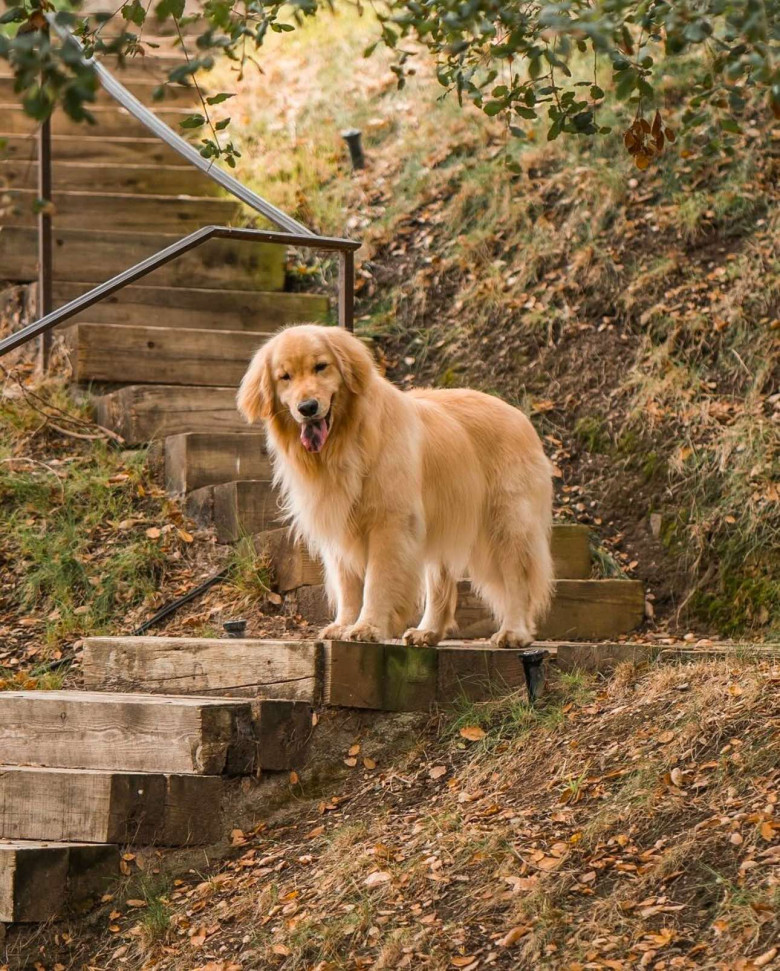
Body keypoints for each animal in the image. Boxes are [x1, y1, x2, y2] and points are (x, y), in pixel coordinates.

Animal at [238, 322, 556, 648]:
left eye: (320, 366)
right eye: (285, 376)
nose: (307, 407)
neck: (346, 441)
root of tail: (519, 415)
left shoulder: (389, 522)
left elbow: (377, 581)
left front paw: (368, 626)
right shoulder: (339, 523)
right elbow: (347, 583)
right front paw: (344, 624)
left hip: (505, 524)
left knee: (516, 579)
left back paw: (514, 632)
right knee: (440, 582)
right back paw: (428, 631)